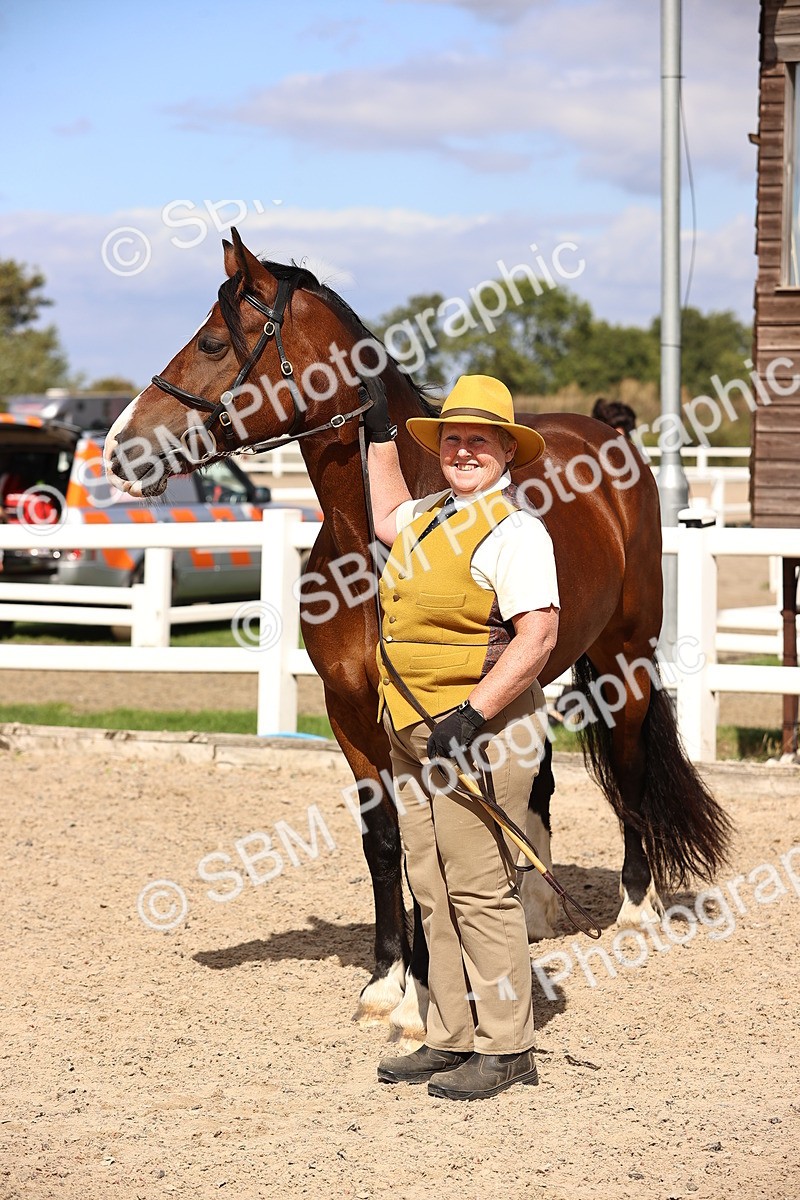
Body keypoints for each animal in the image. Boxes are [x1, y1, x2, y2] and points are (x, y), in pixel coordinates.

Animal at [104, 228, 732, 1038]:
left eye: (213, 341)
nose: (120, 447)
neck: (370, 547)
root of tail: (612, 439)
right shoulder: (351, 715)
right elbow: (385, 843)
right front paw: (386, 981)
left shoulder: (427, 722)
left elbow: (433, 837)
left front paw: (423, 994)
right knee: (535, 784)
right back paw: (533, 907)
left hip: (624, 659)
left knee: (628, 769)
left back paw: (635, 908)